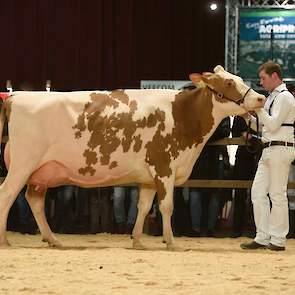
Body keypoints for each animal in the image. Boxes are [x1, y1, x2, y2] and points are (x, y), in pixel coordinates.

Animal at [0, 66, 266, 249]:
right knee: (7, 194)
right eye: (229, 82)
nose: (261, 98)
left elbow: (144, 206)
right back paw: (5, 240)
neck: (182, 115)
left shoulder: (148, 177)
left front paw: (137, 240)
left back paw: (53, 239)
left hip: (41, 172)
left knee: (34, 200)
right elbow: (166, 206)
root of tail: (15, 98)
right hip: (23, 163)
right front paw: (171, 242)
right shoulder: (164, 167)